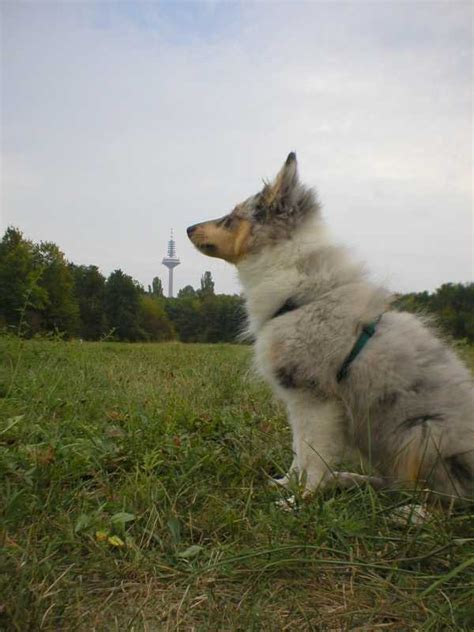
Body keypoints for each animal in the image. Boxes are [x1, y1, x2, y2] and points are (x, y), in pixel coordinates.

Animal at [188, 153, 474, 504]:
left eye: (231, 218)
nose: (187, 228)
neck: (302, 294)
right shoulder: (298, 402)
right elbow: (299, 452)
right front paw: (285, 486)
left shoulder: (315, 399)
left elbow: (313, 456)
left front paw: (299, 502)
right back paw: (350, 480)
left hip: (422, 435)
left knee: (438, 500)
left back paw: (402, 510)